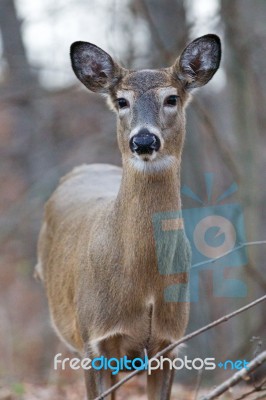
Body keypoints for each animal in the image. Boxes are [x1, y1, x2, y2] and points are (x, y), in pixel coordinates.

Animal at [35, 34, 220, 400]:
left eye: (171, 98)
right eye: (122, 101)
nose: (144, 139)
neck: (144, 283)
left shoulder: (169, 342)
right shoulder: (94, 339)